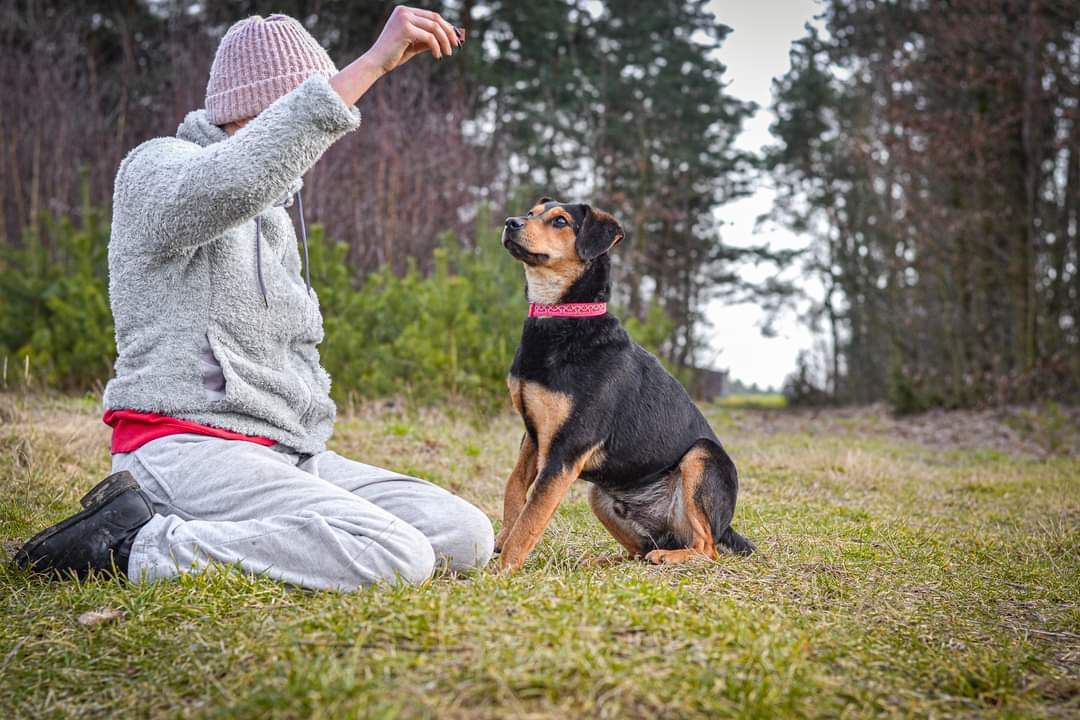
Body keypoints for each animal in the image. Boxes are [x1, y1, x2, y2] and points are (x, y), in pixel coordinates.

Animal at [494, 199, 756, 569]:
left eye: (560, 221)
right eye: (531, 213)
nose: (510, 223)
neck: (565, 319)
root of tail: (727, 524)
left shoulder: (566, 450)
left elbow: (532, 517)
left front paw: (502, 570)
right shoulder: (533, 434)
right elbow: (515, 487)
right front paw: (500, 541)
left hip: (702, 457)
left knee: (707, 548)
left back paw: (670, 557)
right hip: (599, 495)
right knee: (639, 551)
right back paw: (601, 561)